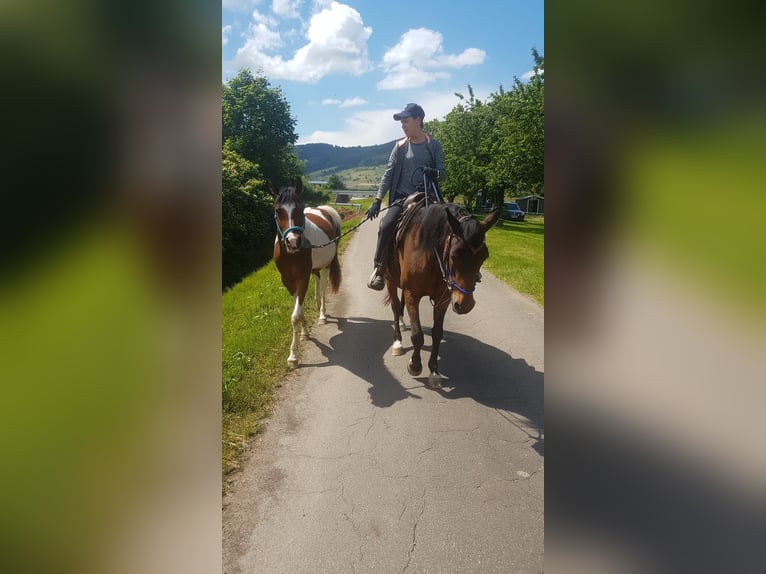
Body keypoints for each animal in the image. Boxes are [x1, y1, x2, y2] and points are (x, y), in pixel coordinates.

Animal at [272, 179, 340, 368]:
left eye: (299, 208)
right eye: (278, 210)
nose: (293, 242)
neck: (291, 254)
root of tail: (324, 210)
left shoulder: (302, 278)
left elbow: (295, 315)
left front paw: (293, 356)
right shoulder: (287, 281)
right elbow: (298, 308)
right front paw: (305, 332)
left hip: (326, 265)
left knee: (323, 287)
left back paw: (322, 313)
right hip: (315, 268)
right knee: (317, 281)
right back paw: (317, 306)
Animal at [384, 201, 504, 388]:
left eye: (484, 256)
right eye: (455, 255)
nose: (466, 304)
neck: (428, 252)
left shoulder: (444, 299)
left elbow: (437, 334)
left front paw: (434, 370)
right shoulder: (412, 294)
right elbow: (417, 335)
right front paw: (415, 365)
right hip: (390, 281)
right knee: (396, 307)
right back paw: (397, 341)